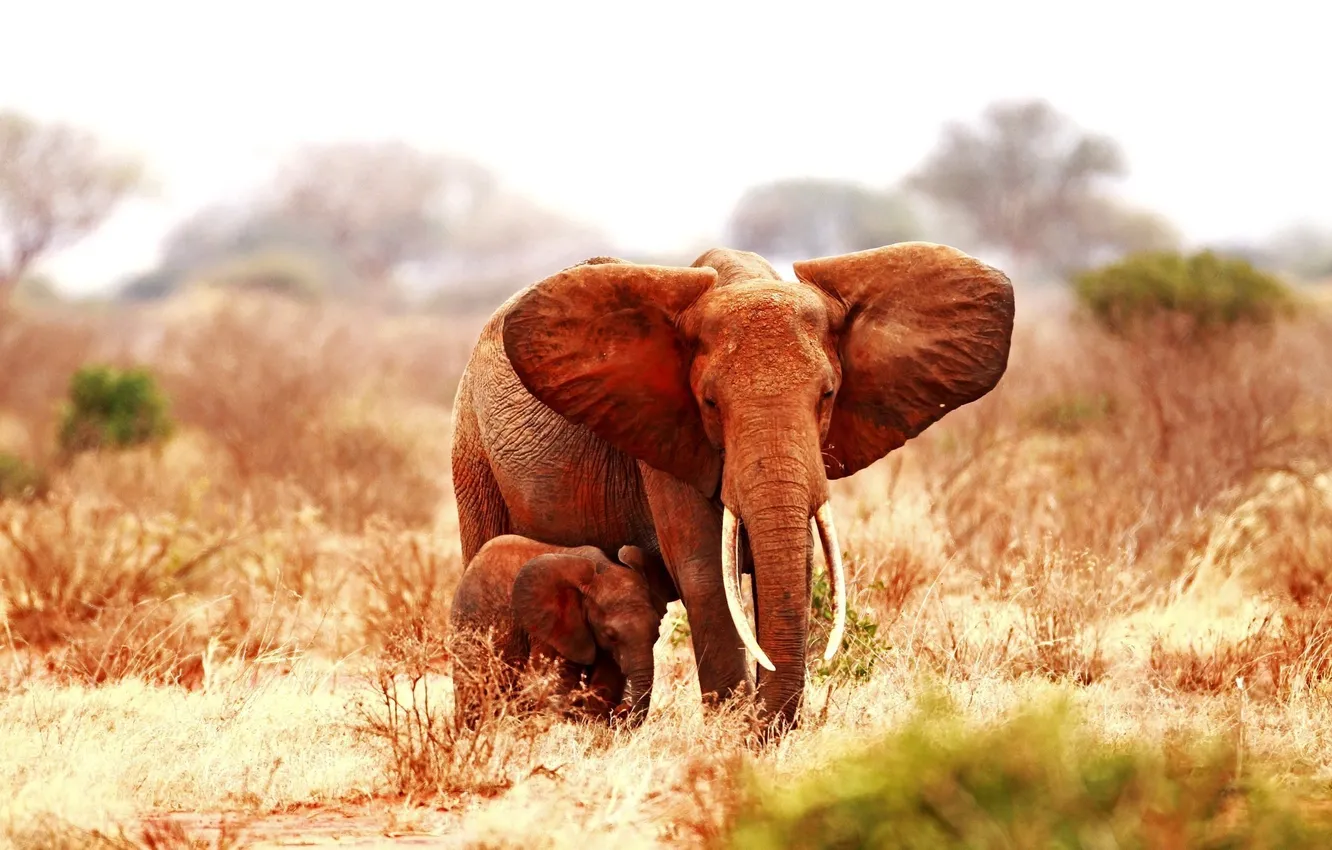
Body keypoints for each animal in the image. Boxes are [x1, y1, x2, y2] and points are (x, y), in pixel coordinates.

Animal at [449, 535, 668, 727]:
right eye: (611, 635)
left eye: (657, 632)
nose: (624, 709)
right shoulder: (546, 628)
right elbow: (547, 680)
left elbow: (606, 681)